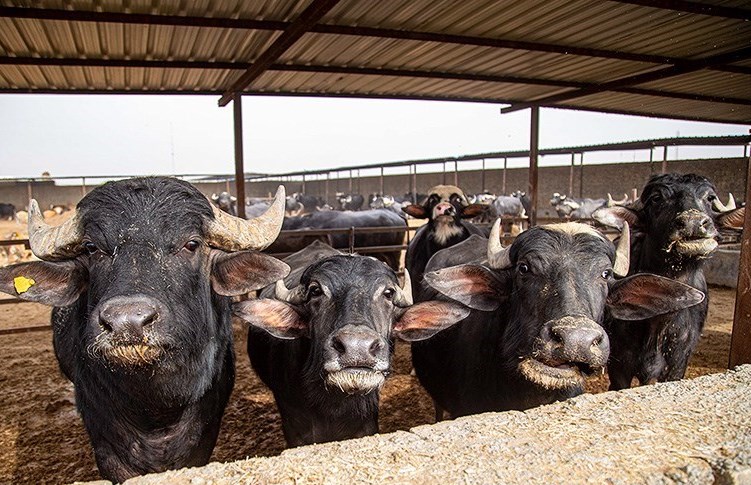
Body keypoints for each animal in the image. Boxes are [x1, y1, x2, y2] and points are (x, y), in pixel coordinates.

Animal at [0, 177, 289, 482]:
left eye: (192, 244)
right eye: (91, 247)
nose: (127, 321)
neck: (157, 406)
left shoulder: (204, 430)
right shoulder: (104, 439)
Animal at [591, 173, 745, 390]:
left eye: (710, 198)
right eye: (656, 198)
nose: (693, 222)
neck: (660, 321)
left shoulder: (677, 366)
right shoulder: (620, 370)